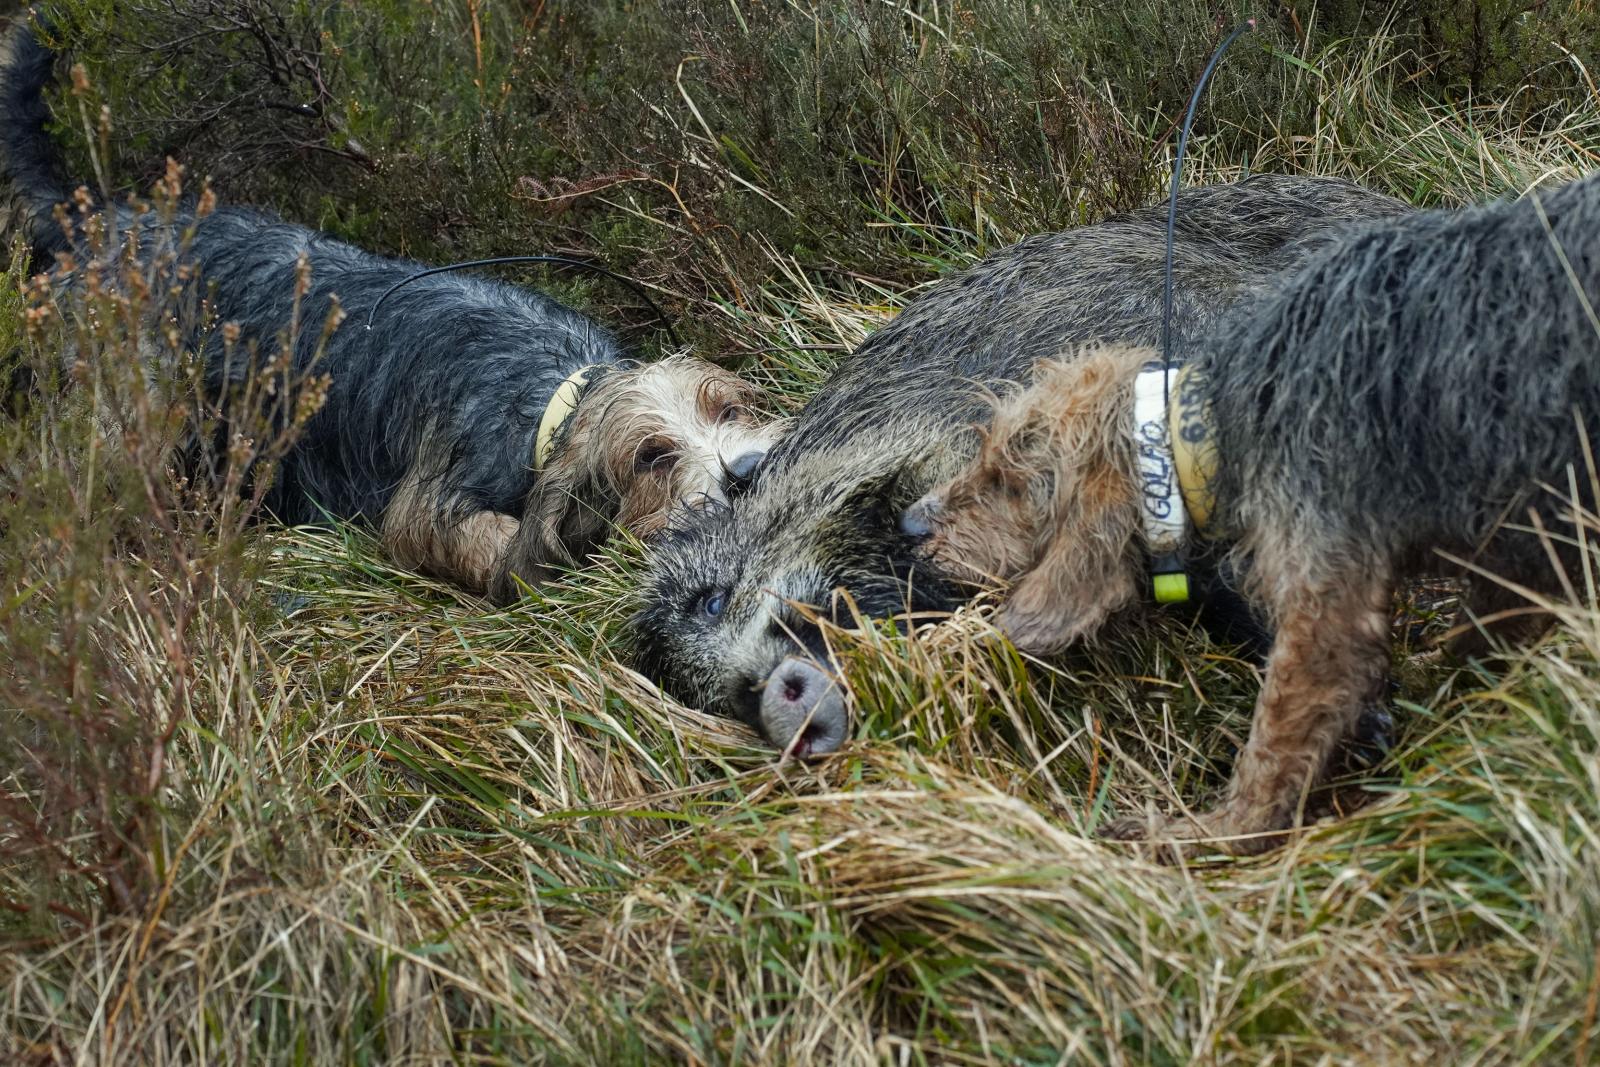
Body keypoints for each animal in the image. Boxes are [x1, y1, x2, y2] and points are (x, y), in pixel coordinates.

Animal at [0, 16, 774, 598]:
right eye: (651, 456)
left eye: (728, 406)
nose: (746, 473)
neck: (550, 396)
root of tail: (96, 220)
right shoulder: (427, 507)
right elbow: (489, 545)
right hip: (127, 417)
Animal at [915, 171, 1600, 857]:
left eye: (1008, 477)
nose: (910, 526)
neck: (1211, 423)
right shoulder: (1517, 551)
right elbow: (1479, 633)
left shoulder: (1324, 610)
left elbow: (1274, 746)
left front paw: (1208, 832)